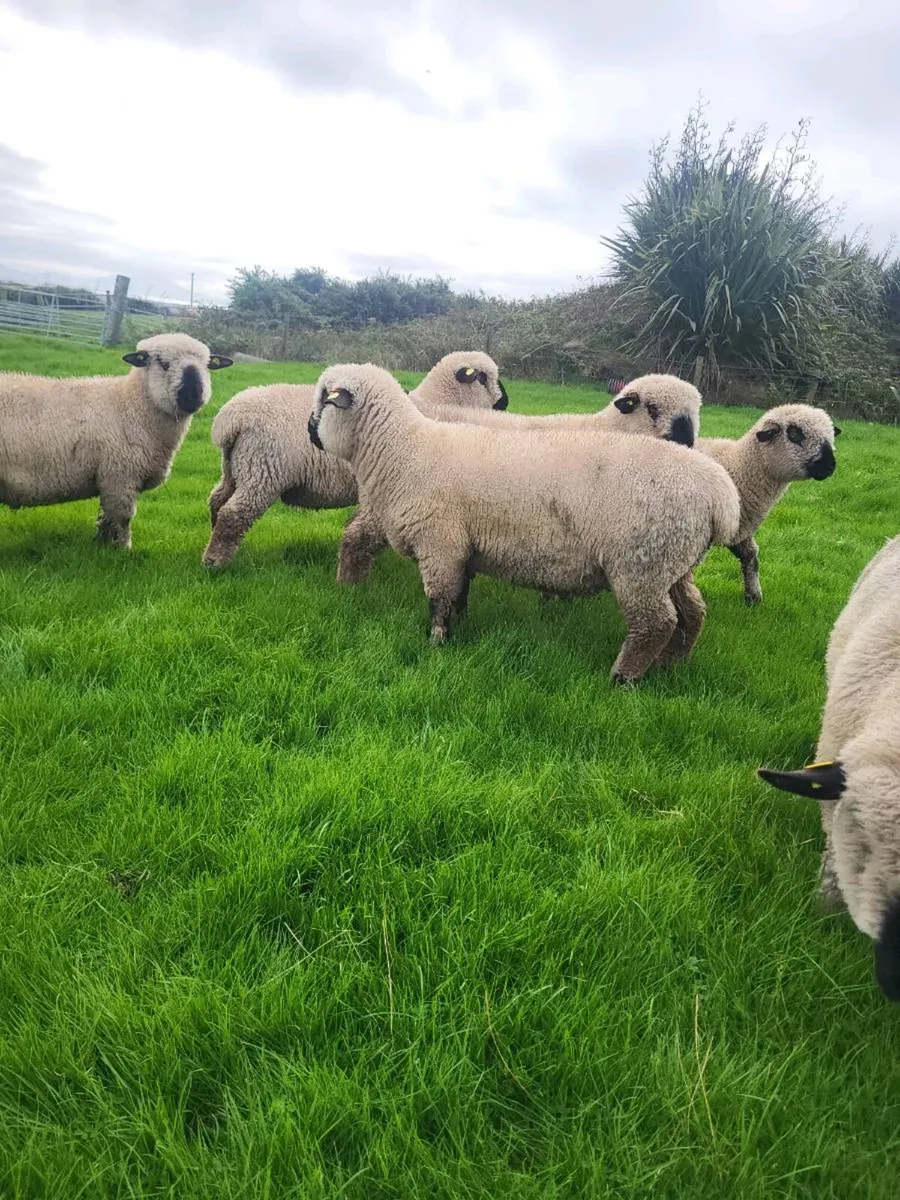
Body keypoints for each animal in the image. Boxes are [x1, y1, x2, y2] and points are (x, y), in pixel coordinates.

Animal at [0, 333, 232, 548]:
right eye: (163, 363)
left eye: (207, 366)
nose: (193, 395)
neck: (130, 404)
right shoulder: (120, 476)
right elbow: (122, 518)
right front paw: (122, 548)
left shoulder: (109, 478)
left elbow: (105, 517)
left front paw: (102, 543)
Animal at [201, 350, 508, 569]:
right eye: (483, 377)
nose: (504, 403)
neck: (435, 404)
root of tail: (230, 420)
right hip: (263, 472)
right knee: (234, 513)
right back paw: (214, 562)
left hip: (236, 468)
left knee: (217, 500)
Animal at [337, 373, 701, 584]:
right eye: (652, 408)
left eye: (696, 413)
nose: (688, 442)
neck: (609, 427)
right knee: (354, 535)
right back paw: (350, 584)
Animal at [697, 404, 841, 604]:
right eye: (795, 434)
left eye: (830, 436)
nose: (830, 466)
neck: (736, 466)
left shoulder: (740, 530)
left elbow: (751, 557)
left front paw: (753, 597)